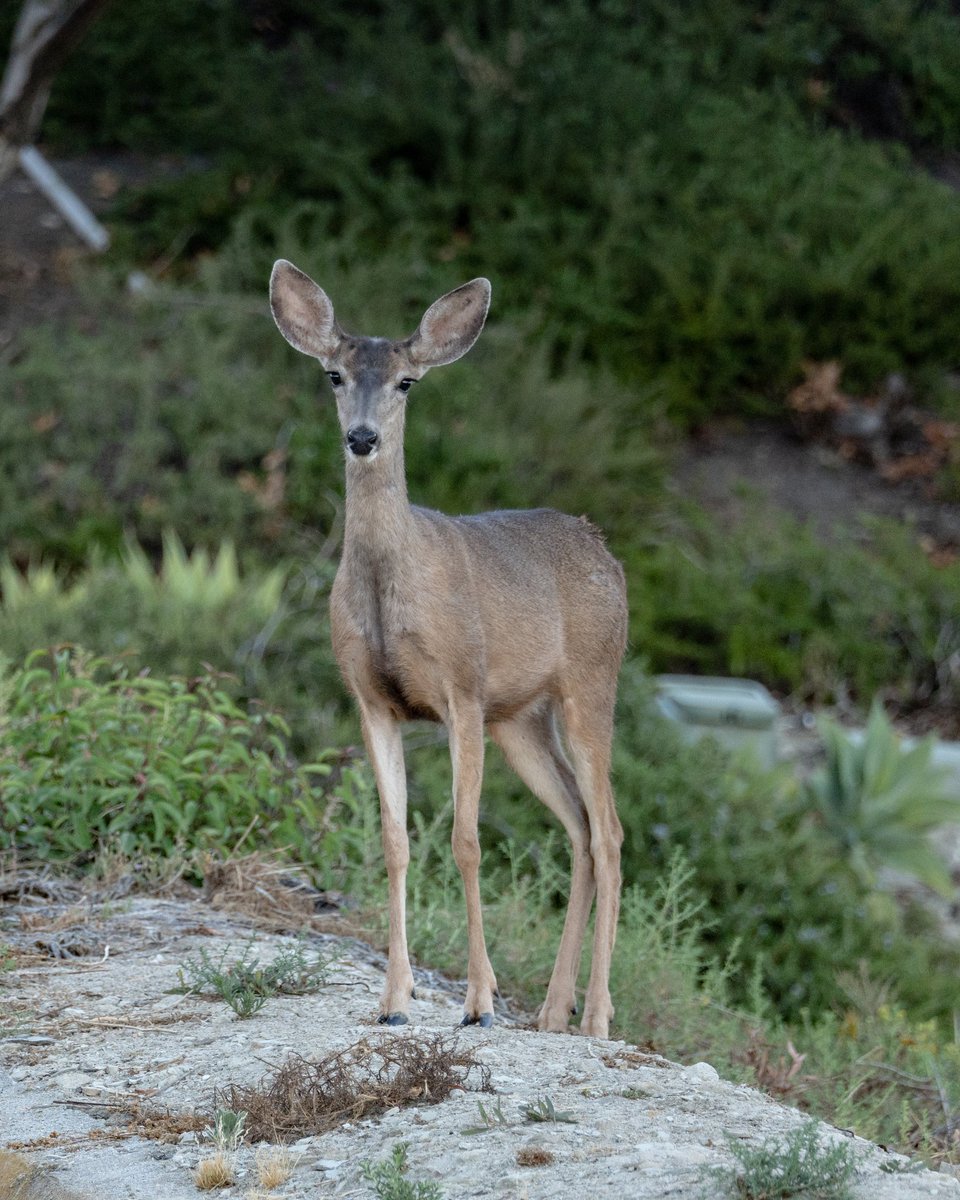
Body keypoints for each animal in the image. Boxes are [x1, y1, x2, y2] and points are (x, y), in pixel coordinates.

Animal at [269, 260, 627, 1038]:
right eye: (334, 375)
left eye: (407, 382)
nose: (363, 438)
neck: (389, 594)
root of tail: (605, 550)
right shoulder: (373, 700)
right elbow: (396, 840)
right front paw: (394, 1001)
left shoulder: (463, 689)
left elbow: (466, 841)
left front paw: (479, 1001)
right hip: (521, 718)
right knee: (580, 827)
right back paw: (554, 1010)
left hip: (591, 683)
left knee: (610, 831)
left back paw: (595, 1017)